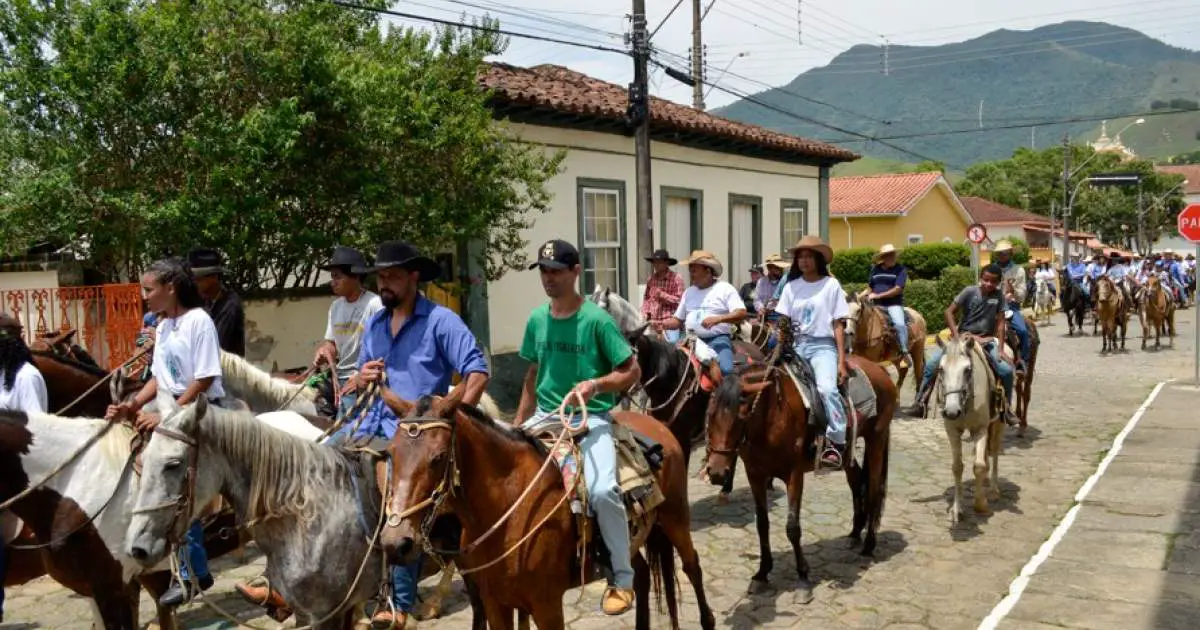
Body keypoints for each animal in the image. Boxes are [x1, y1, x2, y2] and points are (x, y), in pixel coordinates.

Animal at [379, 398, 710, 628]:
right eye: (391, 453)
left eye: (437, 457)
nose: (396, 543)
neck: (508, 509)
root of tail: (657, 425)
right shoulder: (496, 603)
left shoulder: (547, 606)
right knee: (639, 575)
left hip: (676, 517)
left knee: (692, 567)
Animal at [700, 352, 892, 600]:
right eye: (709, 414)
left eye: (742, 416)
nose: (716, 472)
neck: (772, 416)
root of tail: (880, 370)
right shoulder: (755, 475)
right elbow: (762, 524)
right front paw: (762, 574)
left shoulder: (794, 475)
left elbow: (793, 527)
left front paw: (802, 578)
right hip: (848, 451)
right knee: (857, 480)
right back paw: (854, 533)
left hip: (877, 439)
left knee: (874, 490)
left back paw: (868, 545)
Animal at [931, 336, 998, 523]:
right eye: (941, 369)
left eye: (967, 370)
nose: (952, 411)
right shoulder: (952, 430)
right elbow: (957, 467)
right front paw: (956, 509)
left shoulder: (981, 429)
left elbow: (979, 466)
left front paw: (980, 505)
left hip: (998, 423)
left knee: (995, 450)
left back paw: (994, 490)